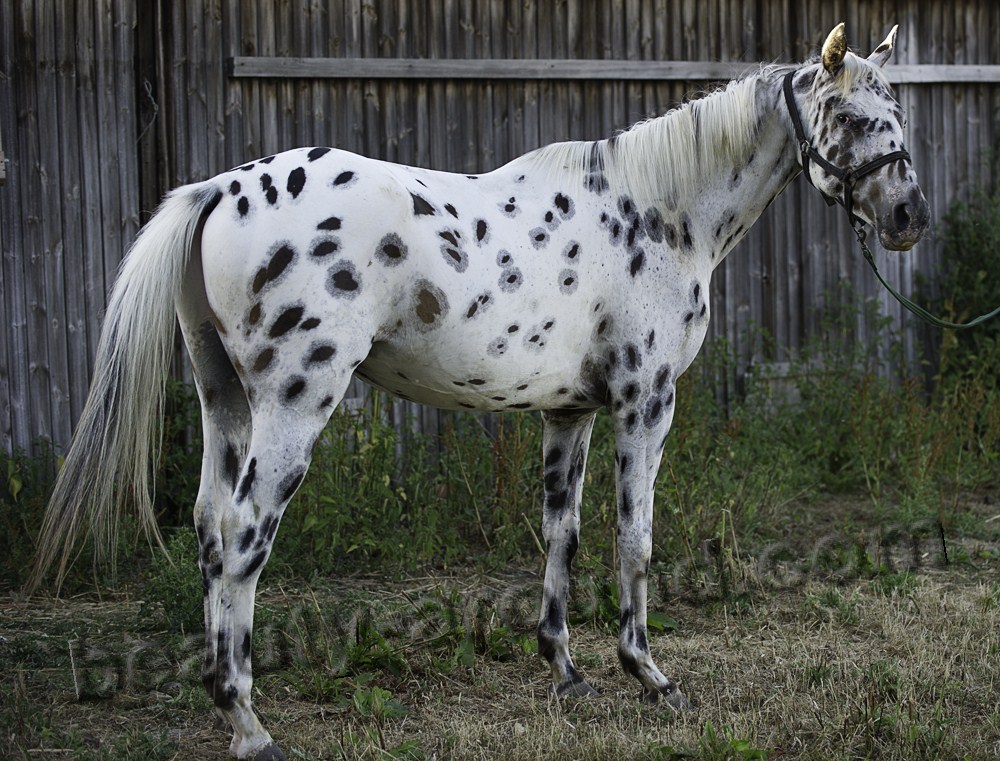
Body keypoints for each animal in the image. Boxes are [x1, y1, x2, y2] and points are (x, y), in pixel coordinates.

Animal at [33, 23, 928, 760]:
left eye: (898, 117)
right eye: (851, 119)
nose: (908, 216)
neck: (657, 211)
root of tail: (220, 188)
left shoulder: (570, 412)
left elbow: (562, 536)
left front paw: (566, 671)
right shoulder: (646, 402)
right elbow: (635, 541)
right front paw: (651, 676)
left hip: (224, 404)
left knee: (210, 530)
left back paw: (225, 701)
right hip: (291, 405)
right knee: (246, 535)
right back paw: (251, 727)